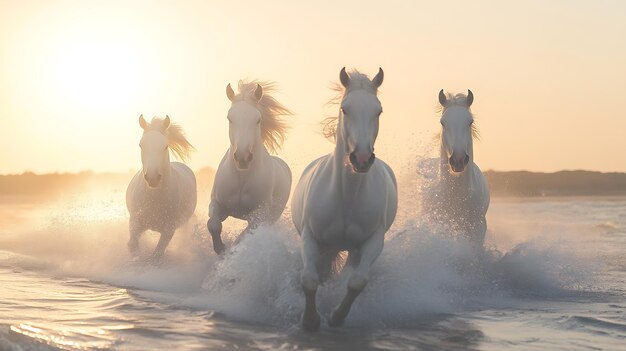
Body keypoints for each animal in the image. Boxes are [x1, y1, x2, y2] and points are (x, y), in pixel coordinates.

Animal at [125, 115, 196, 262]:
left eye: (165, 146)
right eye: (141, 145)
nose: (153, 178)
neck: (154, 198)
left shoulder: (169, 229)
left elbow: (157, 255)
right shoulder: (135, 222)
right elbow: (133, 245)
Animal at [206, 81, 292, 254]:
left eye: (258, 119)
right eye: (229, 118)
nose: (242, 157)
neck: (242, 178)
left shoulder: (260, 216)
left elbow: (242, 238)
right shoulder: (217, 204)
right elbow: (213, 224)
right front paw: (220, 248)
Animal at [292, 67, 398, 332]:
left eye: (378, 110)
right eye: (344, 109)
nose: (361, 158)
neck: (346, 198)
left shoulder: (372, 242)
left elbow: (356, 282)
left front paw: (336, 317)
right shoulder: (310, 237)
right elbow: (309, 279)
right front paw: (310, 321)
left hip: (352, 251)